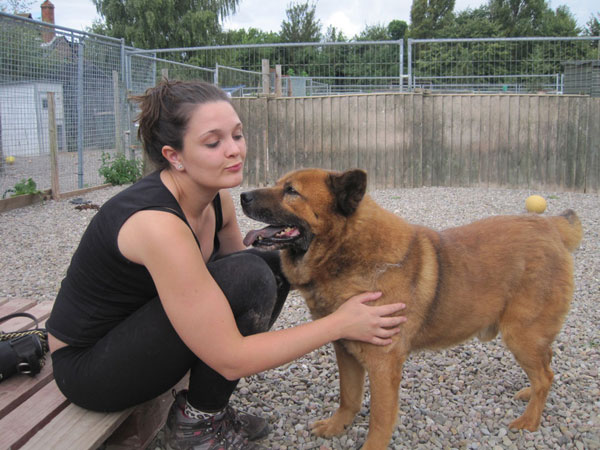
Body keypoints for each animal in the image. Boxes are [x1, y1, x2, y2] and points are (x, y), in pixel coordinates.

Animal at [240, 169, 580, 450]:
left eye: (291, 191)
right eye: (279, 184)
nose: (242, 196)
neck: (347, 253)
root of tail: (550, 226)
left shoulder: (382, 364)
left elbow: (380, 420)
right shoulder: (347, 350)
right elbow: (348, 397)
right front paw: (338, 426)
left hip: (522, 335)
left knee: (545, 376)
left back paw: (529, 420)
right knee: (546, 367)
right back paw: (529, 395)